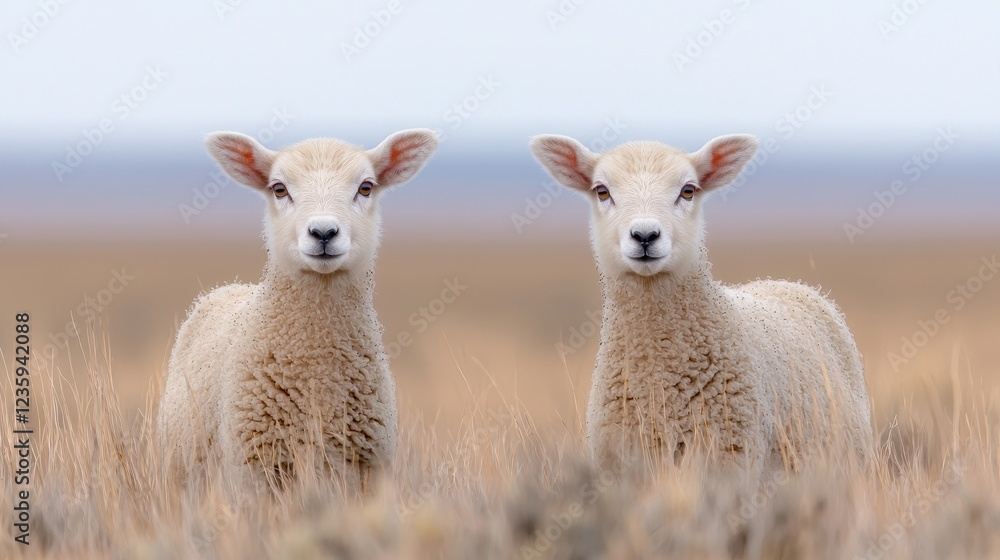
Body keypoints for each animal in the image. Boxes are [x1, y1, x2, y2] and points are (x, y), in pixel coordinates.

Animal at [157, 128, 439, 491]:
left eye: (366, 187)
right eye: (279, 189)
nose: (323, 232)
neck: (318, 373)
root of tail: (230, 287)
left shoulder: (367, 471)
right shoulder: (254, 471)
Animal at [529, 133, 873, 473]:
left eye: (688, 190)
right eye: (602, 191)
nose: (645, 235)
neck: (658, 376)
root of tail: (789, 283)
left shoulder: (732, 457)